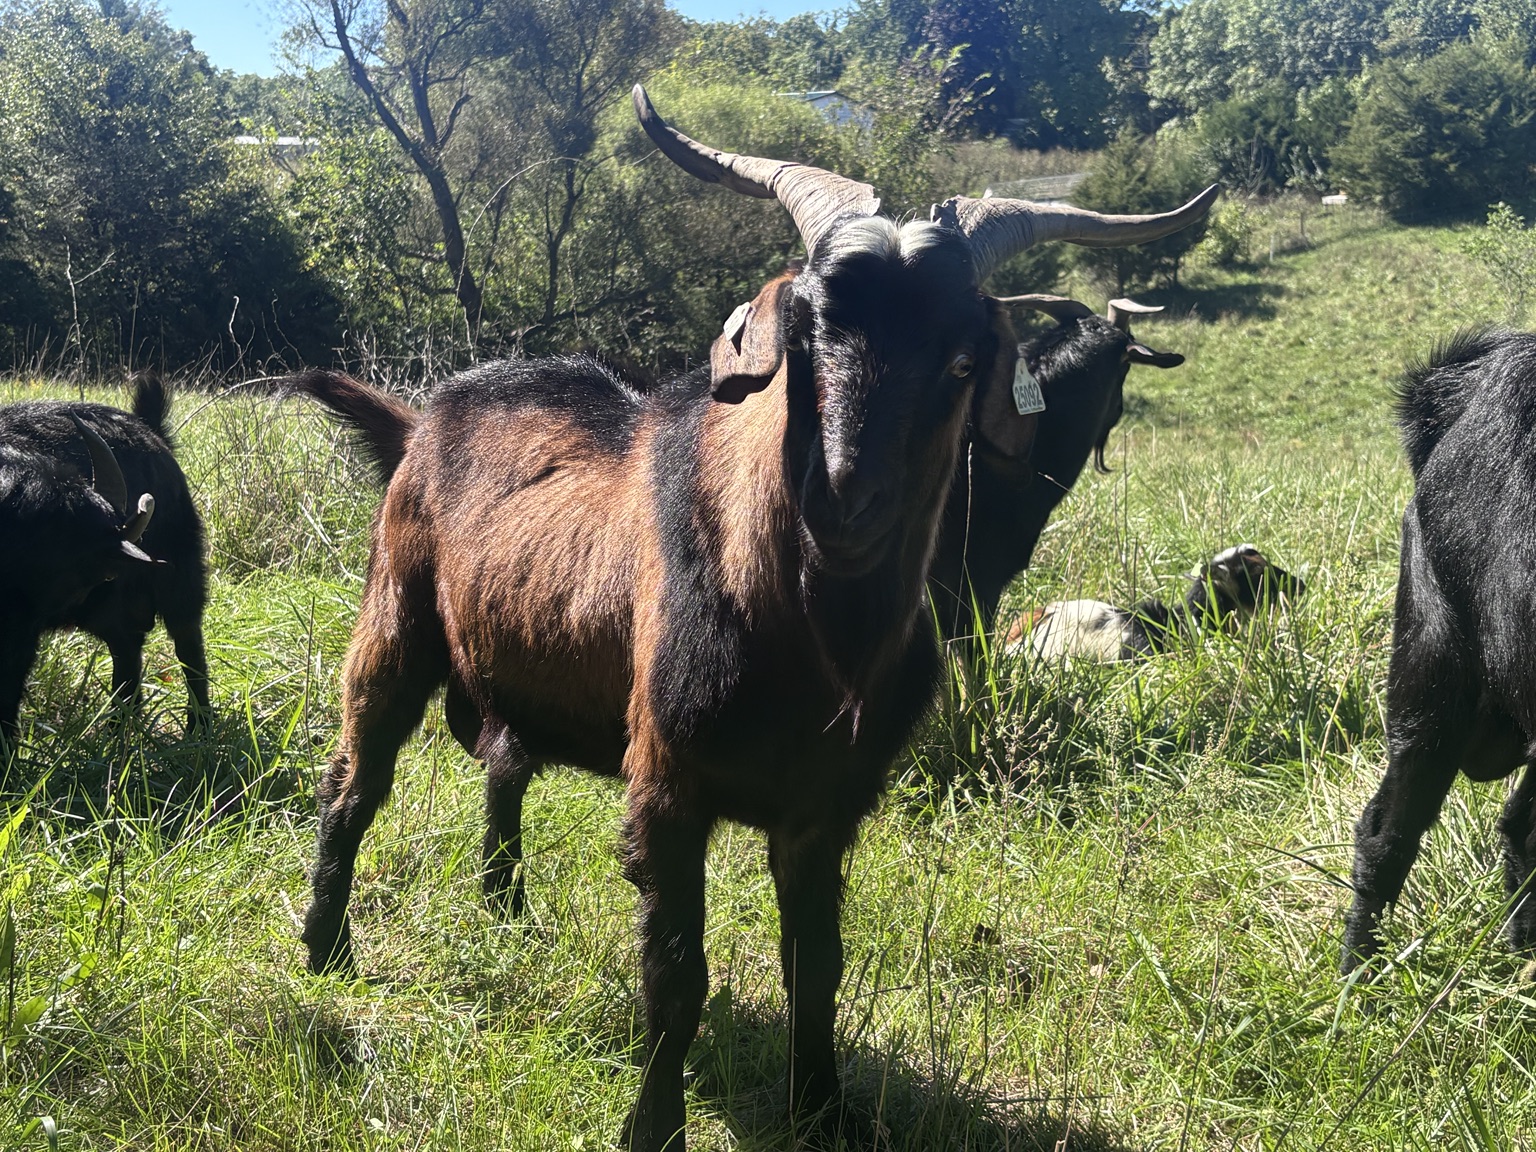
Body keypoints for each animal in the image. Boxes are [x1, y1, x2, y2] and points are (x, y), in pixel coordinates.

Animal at [0, 376, 210, 745]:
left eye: (74, 579)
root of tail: (150, 430)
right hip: (113, 614)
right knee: (127, 655)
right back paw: (116, 732)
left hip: (179, 578)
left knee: (187, 643)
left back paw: (198, 728)